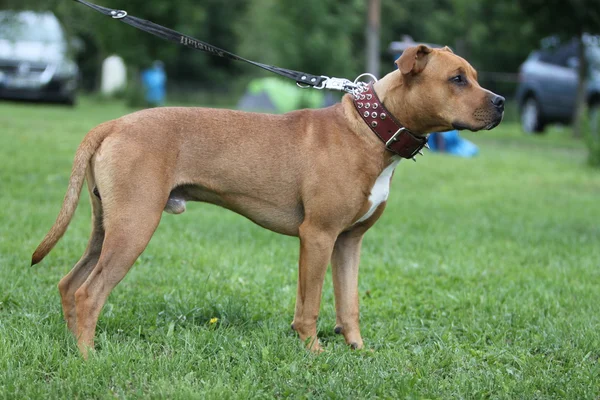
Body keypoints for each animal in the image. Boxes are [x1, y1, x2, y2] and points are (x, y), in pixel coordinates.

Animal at [31, 45, 502, 358]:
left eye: (475, 75)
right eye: (457, 79)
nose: (499, 103)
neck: (370, 129)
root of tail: (113, 124)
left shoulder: (348, 243)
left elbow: (348, 304)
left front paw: (358, 351)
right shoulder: (318, 236)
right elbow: (310, 305)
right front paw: (313, 353)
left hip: (106, 227)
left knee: (69, 284)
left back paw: (73, 347)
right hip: (133, 228)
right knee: (90, 293)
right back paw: (90, 358)